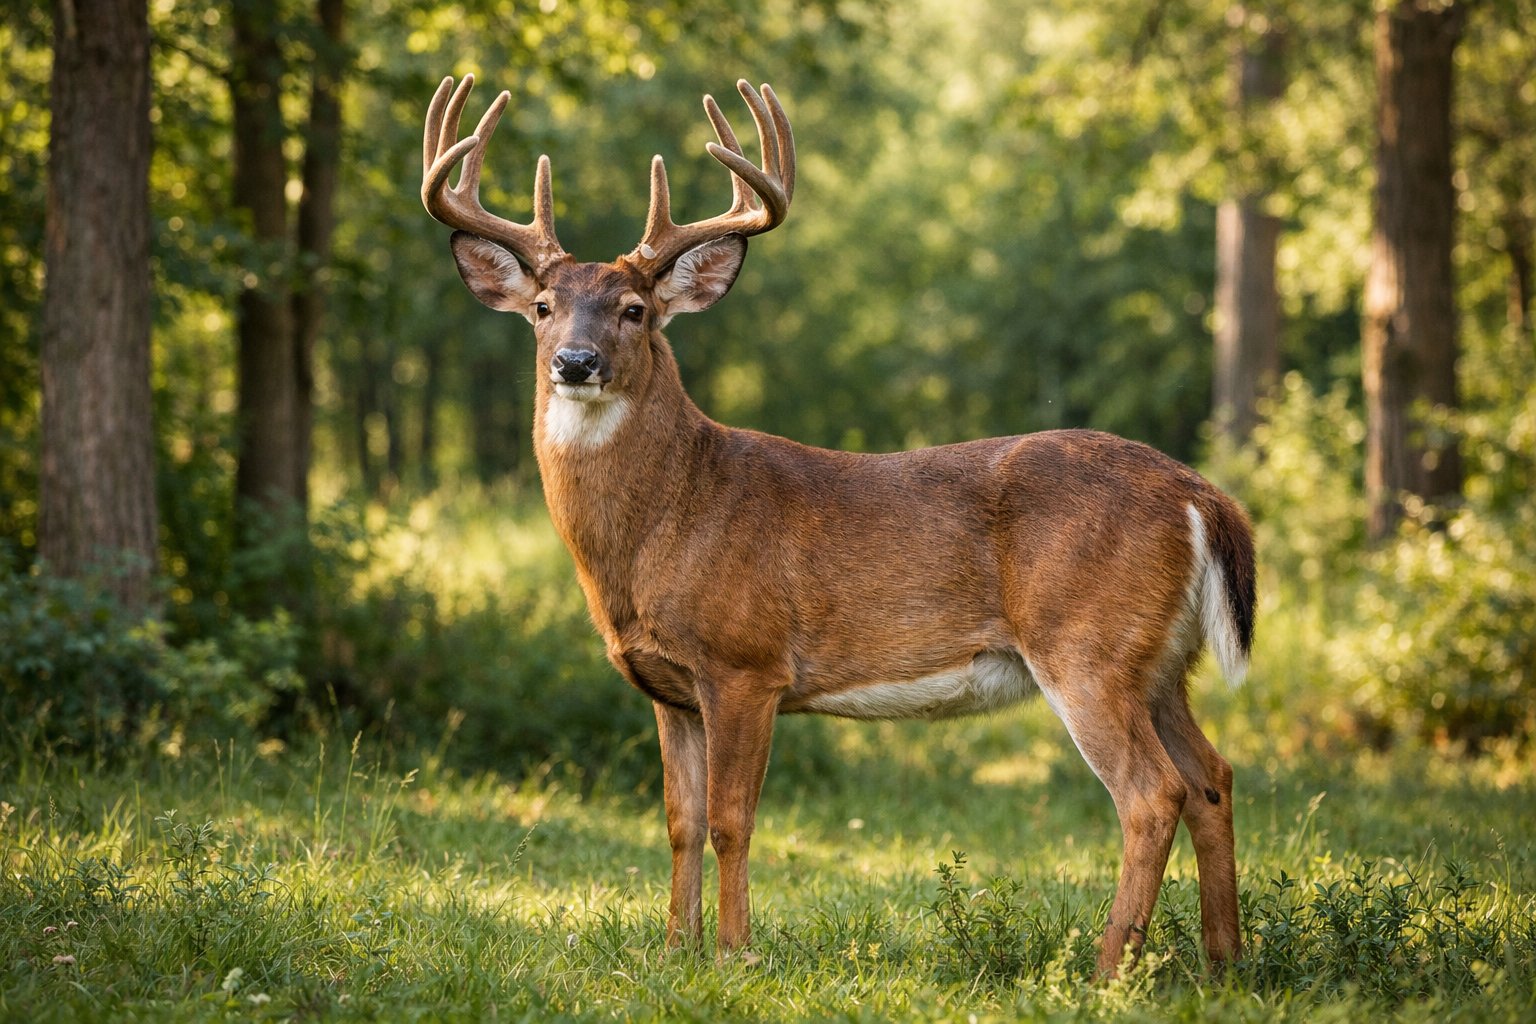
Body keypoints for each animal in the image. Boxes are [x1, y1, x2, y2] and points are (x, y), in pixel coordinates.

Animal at [421, 74, 1256, 977]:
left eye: (635, 309)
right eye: (543, 306)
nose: (574, 362)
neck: (668, 521)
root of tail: (1202, 496)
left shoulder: (746, 662)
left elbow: (731, 821)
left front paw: (735, 954)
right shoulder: (669, 686)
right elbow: (679, 822)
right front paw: (674, 949)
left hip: (1086, 647)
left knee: (1152, 792)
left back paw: (1107, 972)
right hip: (1160, 663)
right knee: (1212, 776)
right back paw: (1224, 963)